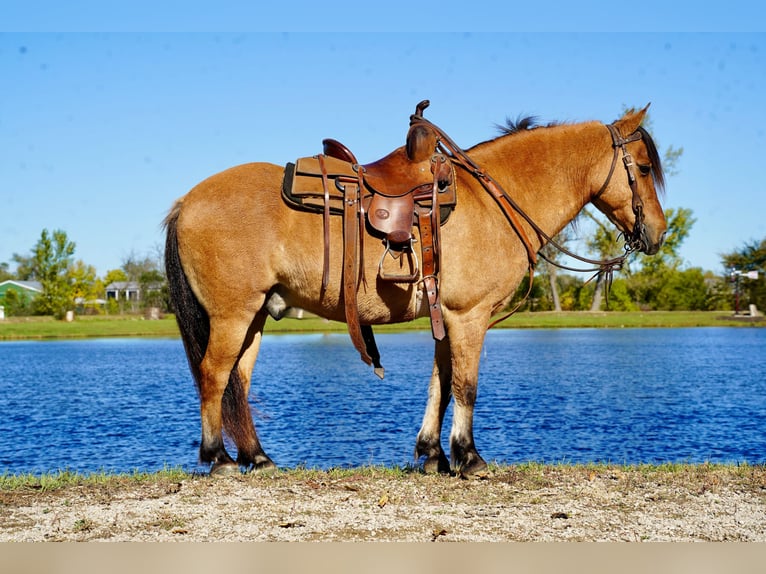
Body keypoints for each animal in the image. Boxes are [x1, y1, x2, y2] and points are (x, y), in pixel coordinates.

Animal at [164, 104, 667, 477]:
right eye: (643, 167)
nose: (658, 233)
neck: (493, 200)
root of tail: (186, 201)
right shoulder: (470, 315)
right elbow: (465, 386)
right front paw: (469, 457)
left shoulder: (447, 316)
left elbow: (439, 385)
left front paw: (432, 455)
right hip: (232, 315)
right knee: (212, 375)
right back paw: (220, 459)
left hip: (254, 317)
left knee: (238, 382)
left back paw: (259, 458)